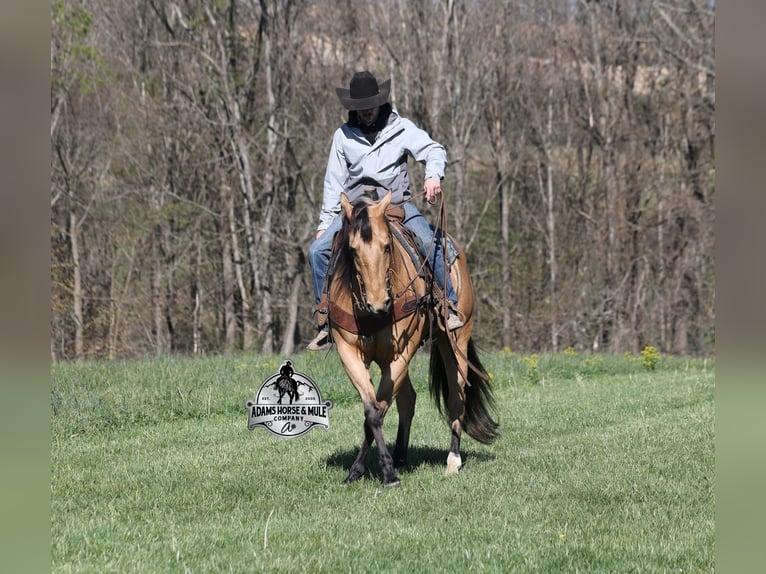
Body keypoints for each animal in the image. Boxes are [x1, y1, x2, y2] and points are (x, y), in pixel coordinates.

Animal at [326, 190, 498, 486]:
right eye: (353, 250)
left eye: (387, 247)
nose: (379, 304)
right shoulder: (349, 352)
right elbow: (372, 410)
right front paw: (358, 471)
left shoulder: (402, 352)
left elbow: (378, 410)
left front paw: (387, 474)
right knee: (407, 400)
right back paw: (400, 456)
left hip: (454, 342)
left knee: (456, 399)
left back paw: (452, 461)